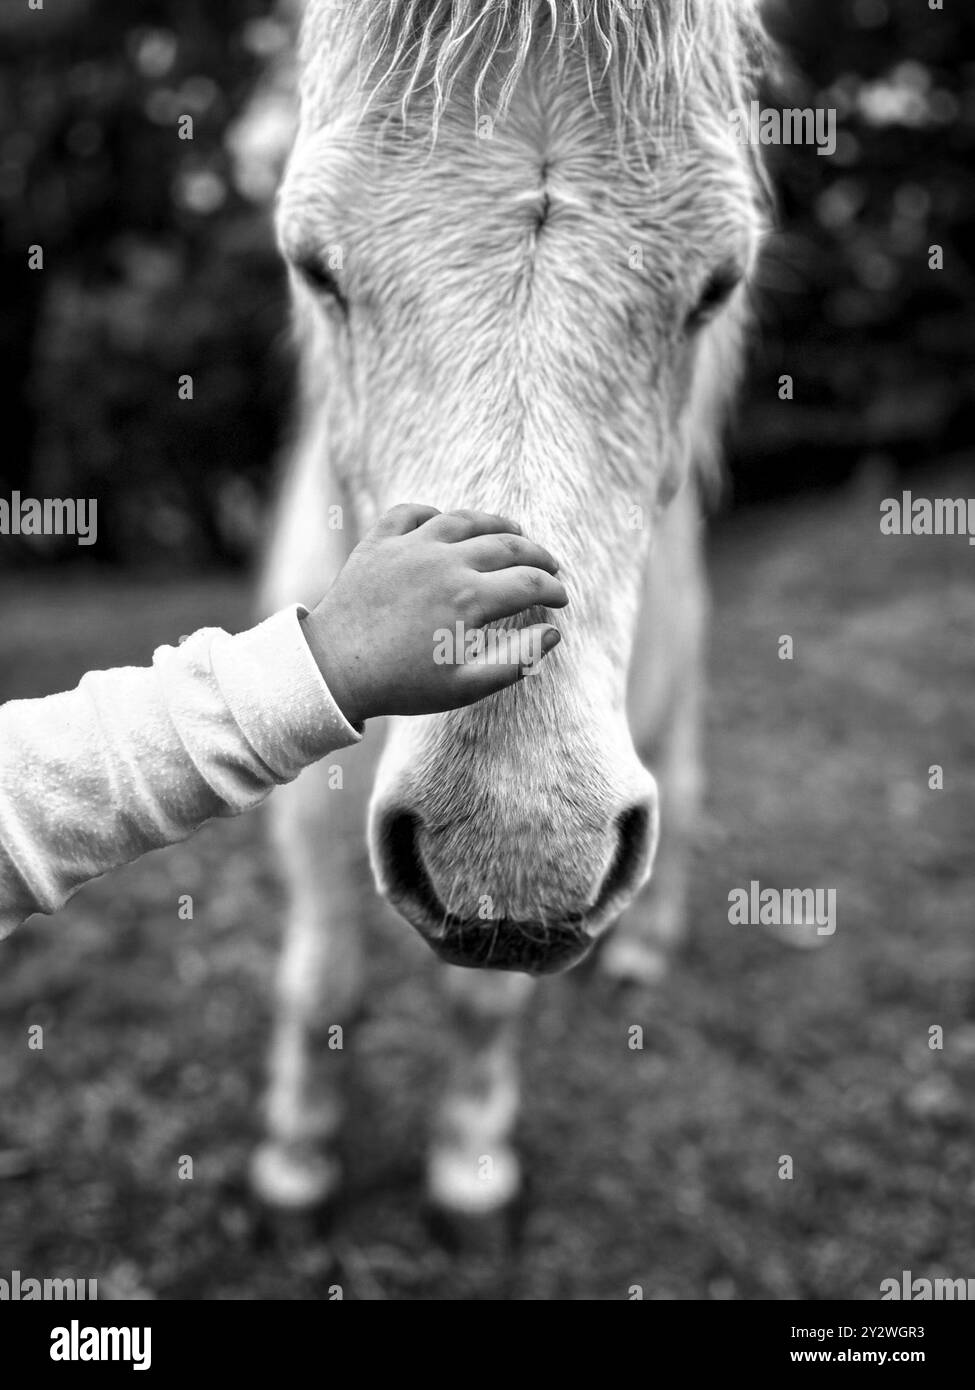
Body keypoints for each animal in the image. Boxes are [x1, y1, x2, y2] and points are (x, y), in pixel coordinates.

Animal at [250, 0, 767, 1217]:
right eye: (314, 268)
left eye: (717, 285)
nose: (513, 844)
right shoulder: (302, 785)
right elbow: (320, 974)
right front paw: (295, 1158)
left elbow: (482, 997)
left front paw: (470, 1164)